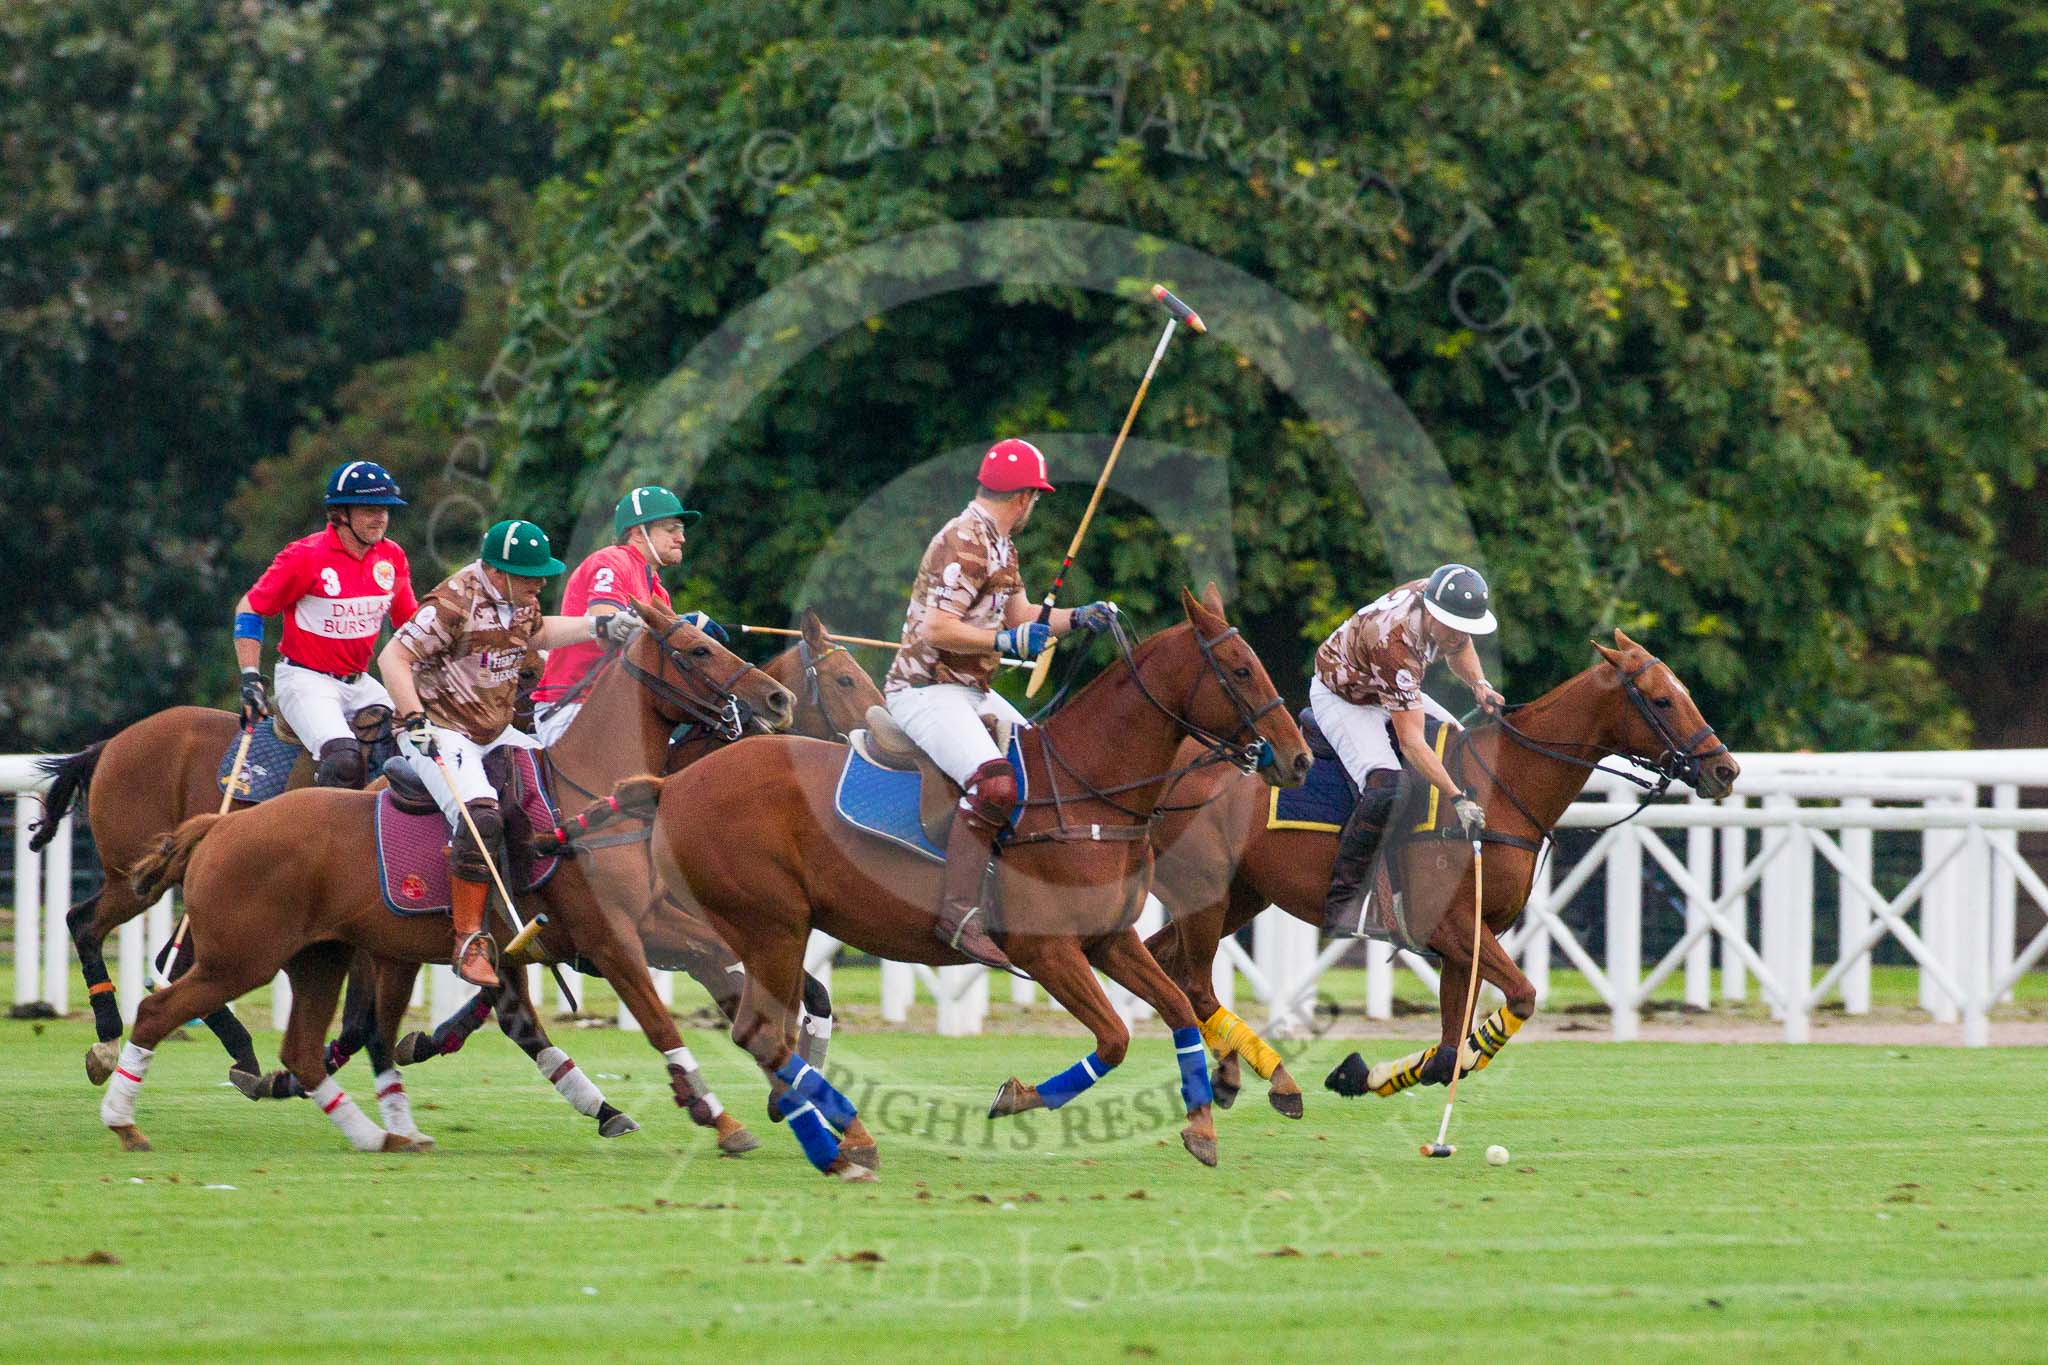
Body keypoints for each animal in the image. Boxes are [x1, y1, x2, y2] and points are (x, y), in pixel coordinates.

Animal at [99, 609, 794, 1154]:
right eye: (698, 649)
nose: (777, 700)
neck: (588, 793)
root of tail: (221, 827)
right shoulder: (608, 939)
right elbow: (659, 1024)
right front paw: (717, 1112)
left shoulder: (650, 922)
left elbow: (730, 972)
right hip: (242, 956)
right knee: (160, 1006)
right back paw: (124, 1116)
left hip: (320, 956)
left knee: (306, 1045)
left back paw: (377, 1132)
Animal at [548, 593, 1310, 1178]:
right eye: (1239, 667)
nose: (1298, 758)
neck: (1088, 789)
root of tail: (671, 783)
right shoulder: (1045, 950)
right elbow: (1118, 1037)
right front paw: (1018, 1095)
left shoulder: (1109, 938)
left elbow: (1177, 1008)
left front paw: (1202, 1125)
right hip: (768, 922)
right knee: (760, 1030)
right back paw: (837, 1142)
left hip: (765, 930)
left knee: (768, 1029)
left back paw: (833, 1131)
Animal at [1146, 630, 1736, 1113]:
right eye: (1662, 699)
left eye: (1682, 691)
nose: (1725, 769)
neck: (1501, 787)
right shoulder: (1453, 926)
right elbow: (1518, 999)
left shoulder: (1469, 939)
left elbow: (1451, 1053)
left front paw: (1358, 1073)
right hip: (1204, 893)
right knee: (1192, 983)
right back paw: (1256, 1080)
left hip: (1240, 895)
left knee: (1164, 967)